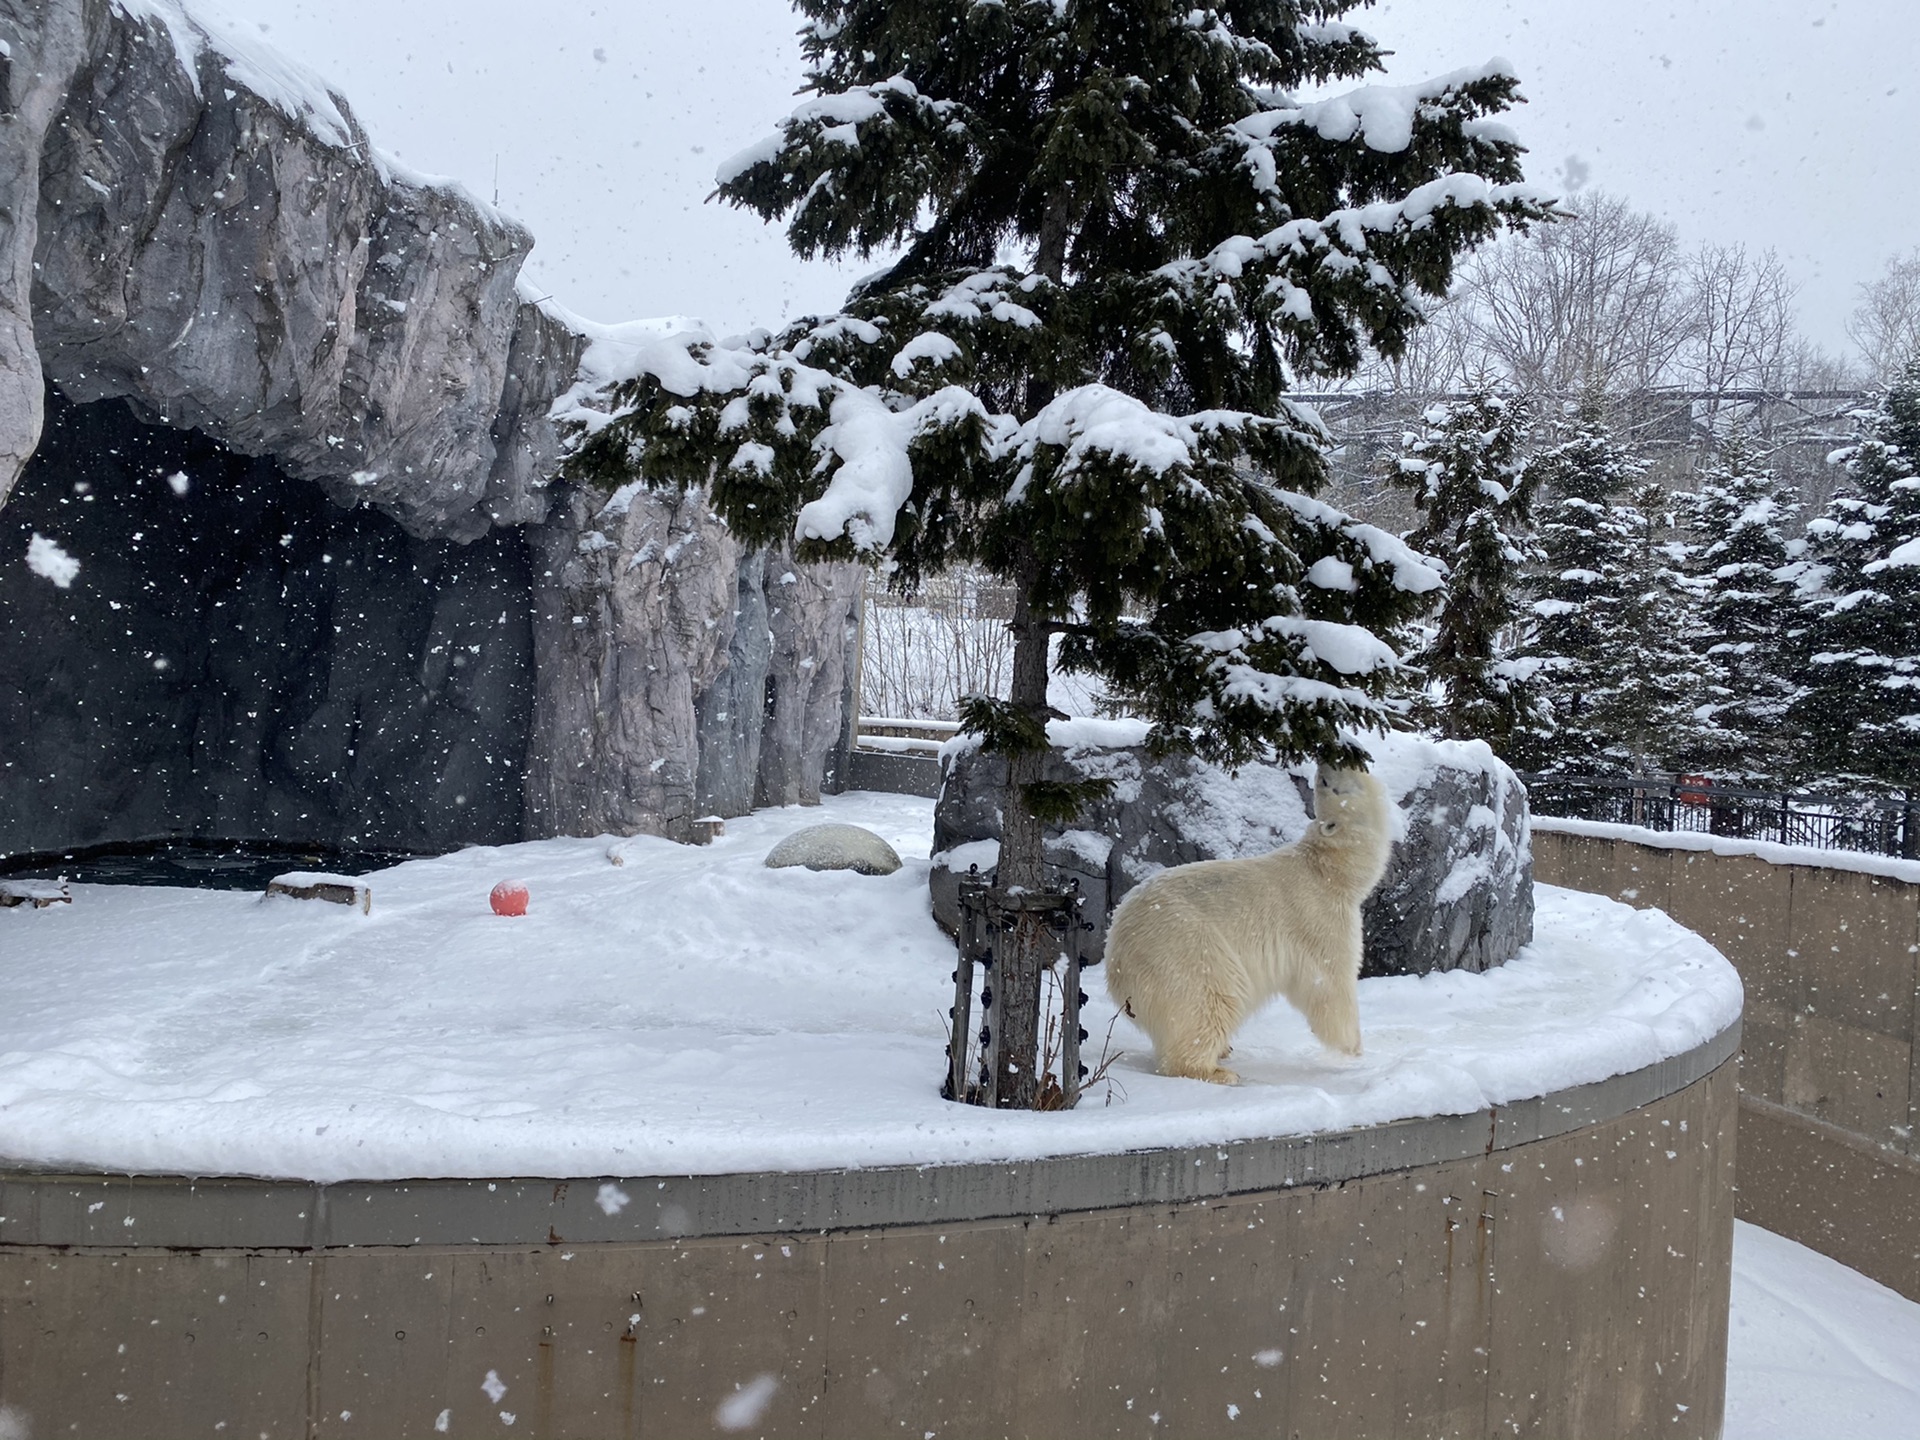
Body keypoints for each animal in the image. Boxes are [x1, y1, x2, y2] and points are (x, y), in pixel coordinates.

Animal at [1105, 768, 1390, 1082]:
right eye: (1325, 784)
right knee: (1210, 999)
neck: (1328, 872)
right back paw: (1217, 1071)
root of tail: (1115, 950)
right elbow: (1330, 982)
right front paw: (1354, 1052)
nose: (1322, 766)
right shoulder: (1320, 916)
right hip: (1182, 946)